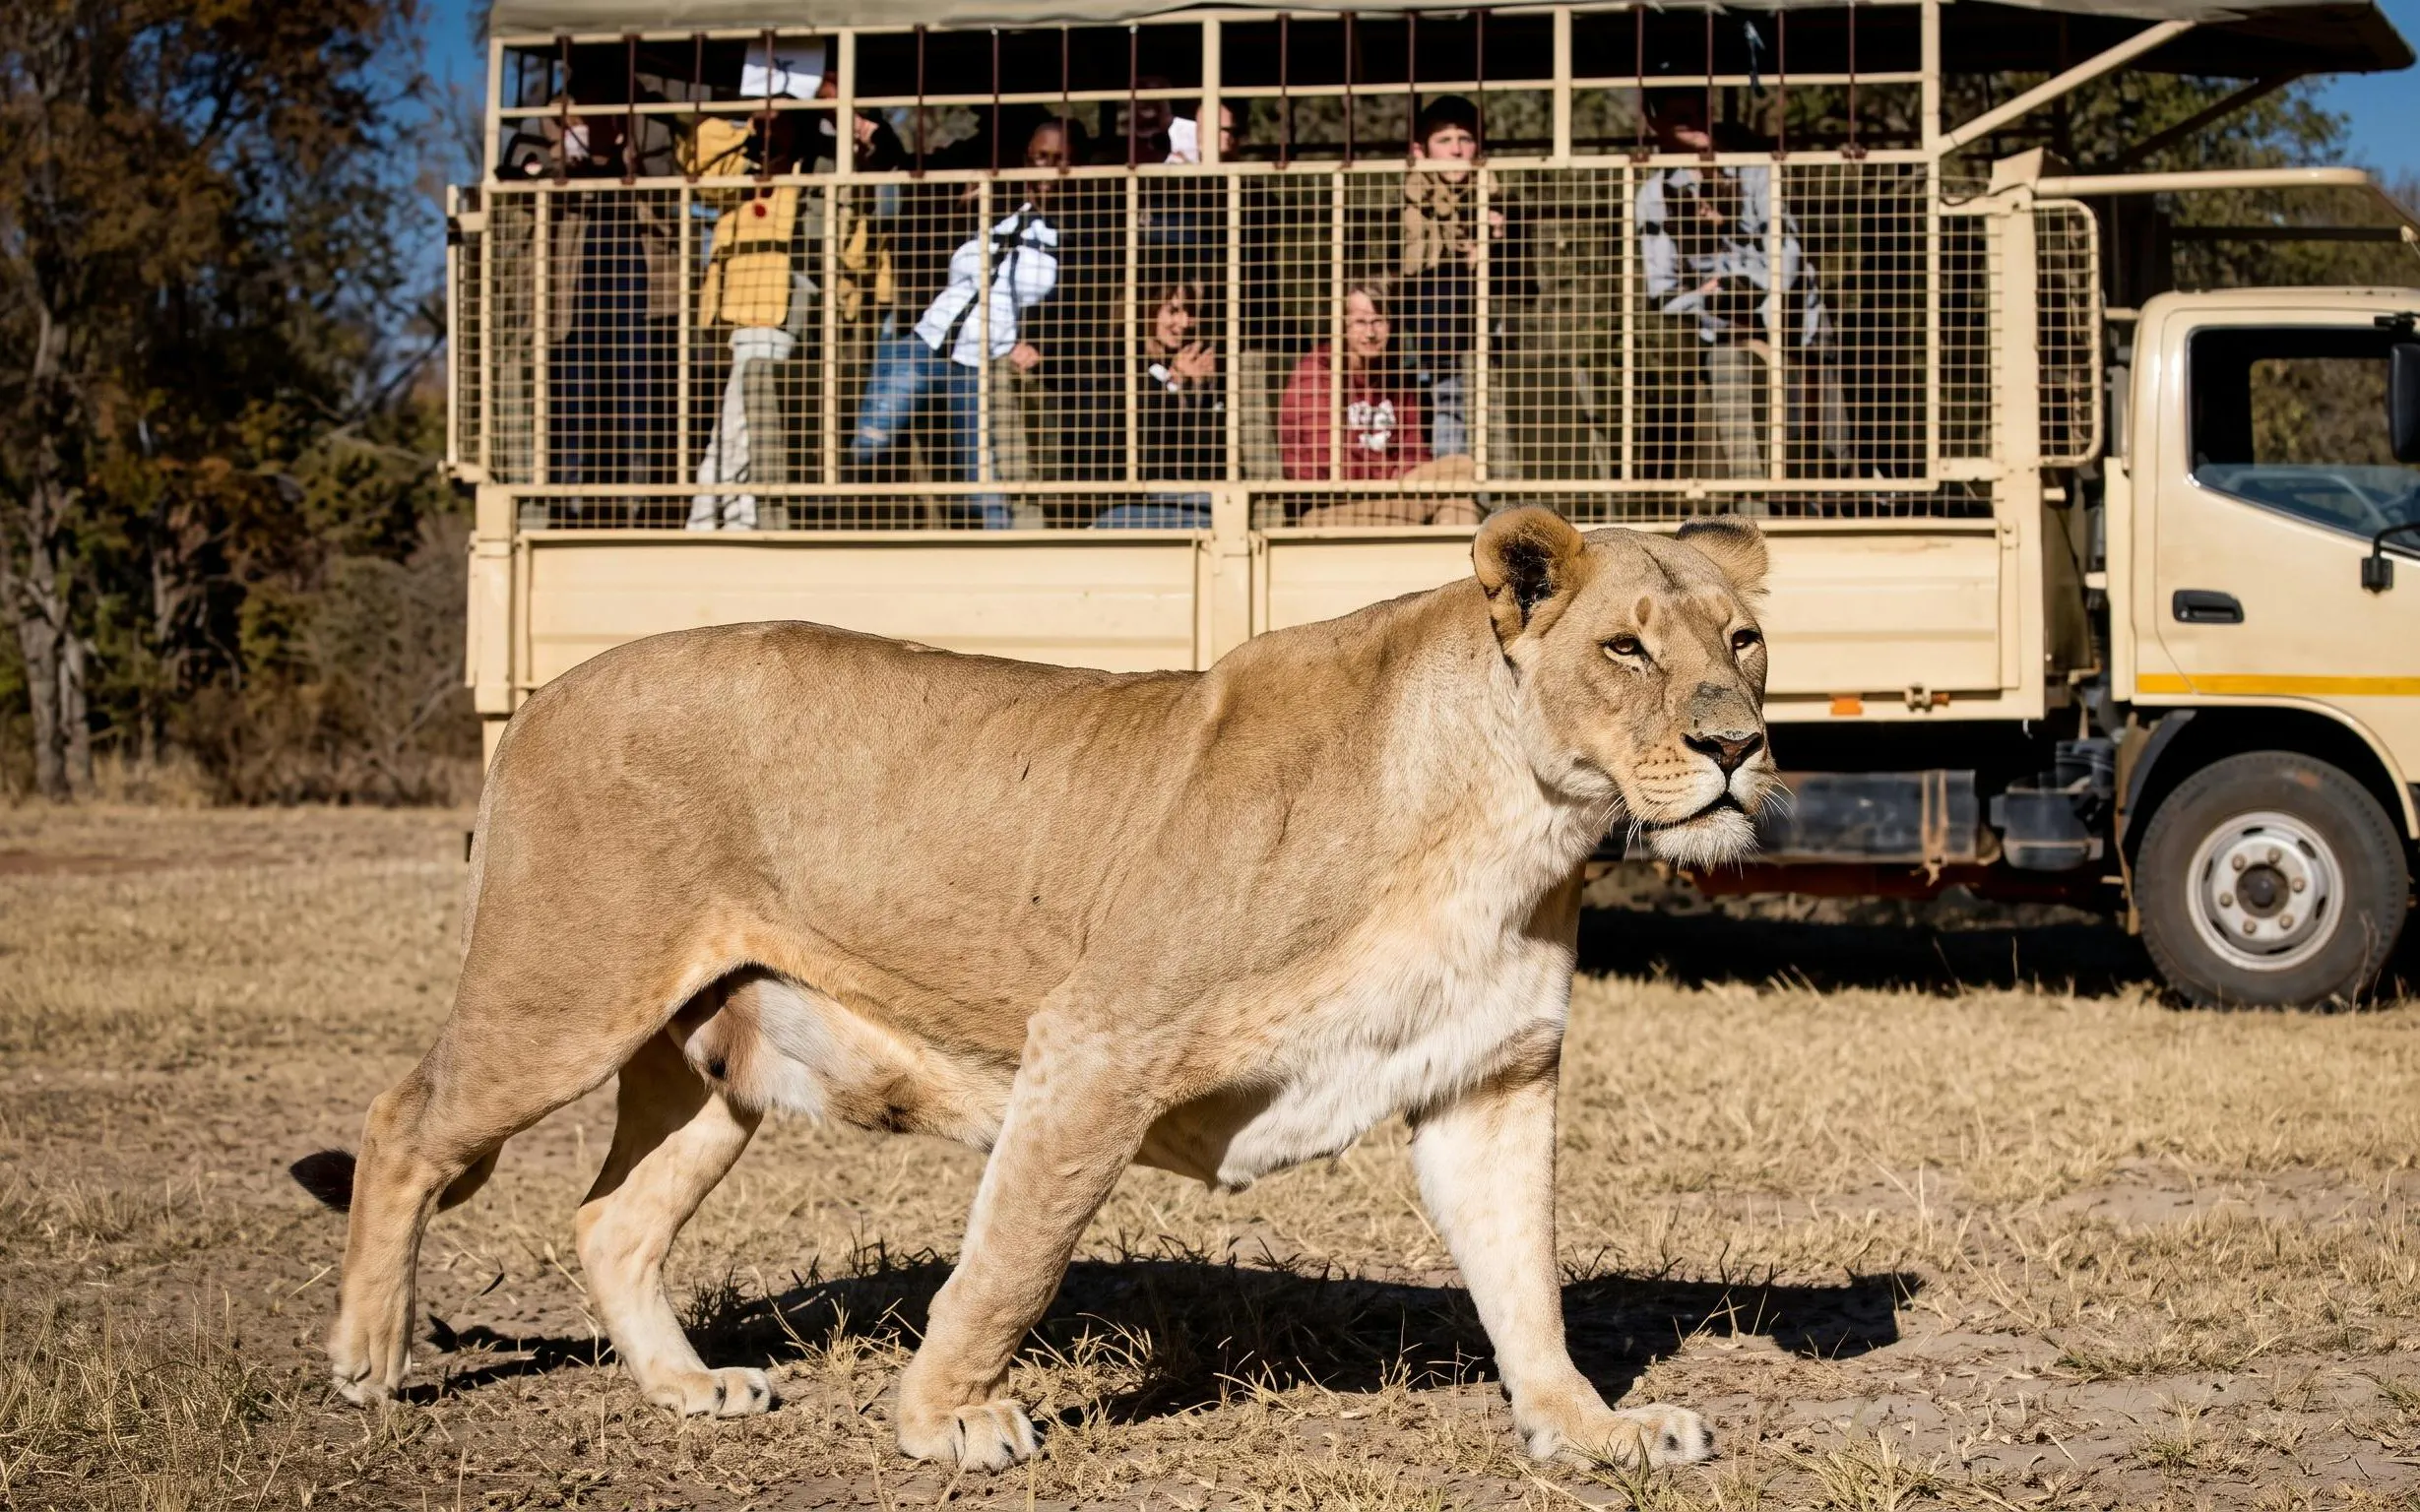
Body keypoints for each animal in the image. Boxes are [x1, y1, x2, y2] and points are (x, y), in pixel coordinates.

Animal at [291, 507, 1777, 1472]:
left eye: (1745, 641)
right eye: (1626, 649)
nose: (1738, 746)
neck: (1511, 820)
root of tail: (546, 694)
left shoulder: (1490, 1079)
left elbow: (1525, 1281)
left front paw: (1589, 1430)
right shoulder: (1099, 1040)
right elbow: (1014, 1256)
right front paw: (945, 1422)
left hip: (710, 1069)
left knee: (610, 1218)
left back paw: (687, 1390)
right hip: (559, 997)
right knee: (399, 1123)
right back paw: (369, 1361)